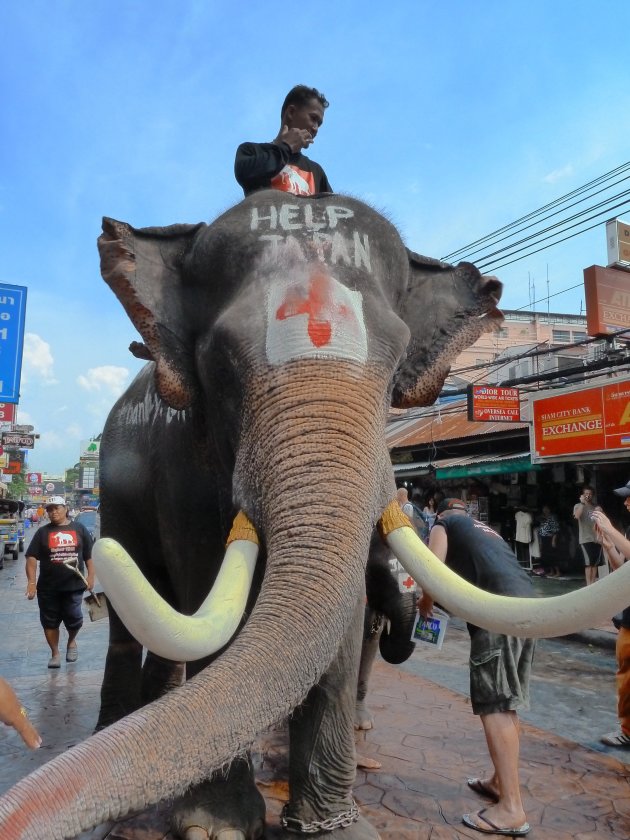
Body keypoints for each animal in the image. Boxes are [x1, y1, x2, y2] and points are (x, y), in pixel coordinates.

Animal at [2, 190, 628, 840]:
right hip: (119, 490)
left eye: (397, 359)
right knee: (139, 613)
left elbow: (343, 620)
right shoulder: (182, 463)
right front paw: (213, 827)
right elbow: (204, 587)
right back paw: (116, 728)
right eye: (221, 360)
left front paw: (333, 828)